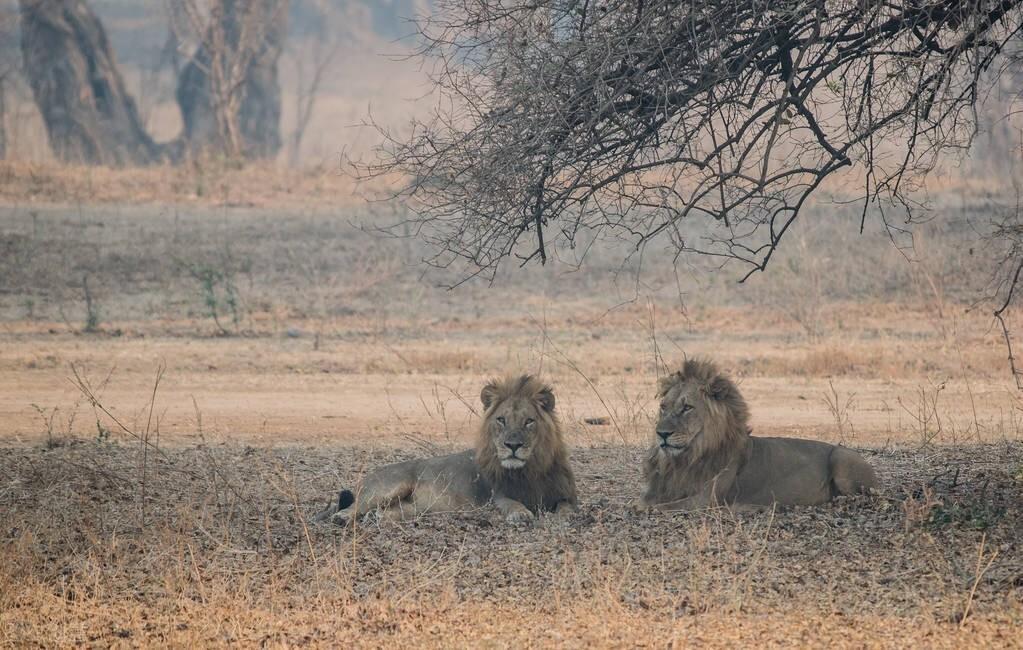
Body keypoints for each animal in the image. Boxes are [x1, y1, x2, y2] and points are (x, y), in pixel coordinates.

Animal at [313, 374, 576, 528]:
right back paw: (342, 518)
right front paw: (521, 514)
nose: (512, 445)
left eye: (529, 421)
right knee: (352, 506)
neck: (529, 470)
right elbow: (512, 504)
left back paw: (377, 518)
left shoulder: (565, 495)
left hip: (415, 507)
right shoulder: (497, 496)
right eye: (501, 420)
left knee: (389, 512)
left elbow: (568, 508)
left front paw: (562, 518)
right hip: (387, 487)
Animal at [638, 358, 879, 511]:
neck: (687, 458)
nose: (661, 434)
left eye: (687, 407)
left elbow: (653, 507)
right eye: (663, 407)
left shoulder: (705, 499)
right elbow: (644, 502)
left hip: (842, 458)